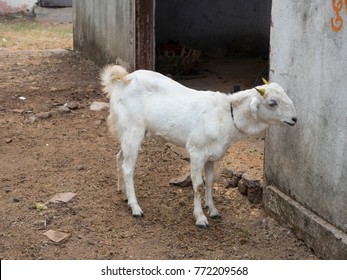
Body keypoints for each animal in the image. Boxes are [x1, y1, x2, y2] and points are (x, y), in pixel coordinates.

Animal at [100, 65, 296, 228]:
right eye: (272, 103)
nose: (294, 119)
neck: (226, 115)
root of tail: (123, 80)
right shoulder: (196, 152)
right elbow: (198, 185)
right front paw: (200, 218)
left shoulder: (211, 156)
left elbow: (210, 181)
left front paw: (213, 210)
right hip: (133, 130)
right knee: (128, 168)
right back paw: (135, 207)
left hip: (128, 133)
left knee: (120, 157)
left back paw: (123, 192)